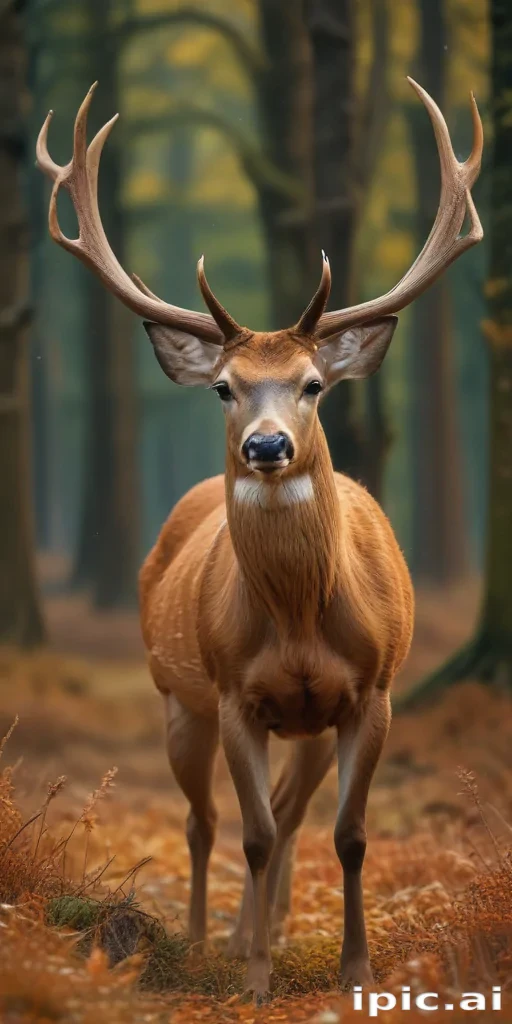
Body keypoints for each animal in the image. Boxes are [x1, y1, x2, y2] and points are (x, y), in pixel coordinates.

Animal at [37, 77, 483, 1003]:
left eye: (313, 384)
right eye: (223, 388)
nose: (268, 446)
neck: (302, 623)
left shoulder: (374, 689)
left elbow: (346, 834)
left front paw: (354, 969)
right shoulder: (235, 690)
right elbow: (250, 832)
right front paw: (253, 981)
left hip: (307, 722)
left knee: (289, 806)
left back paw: (266, 923)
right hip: (179, 696)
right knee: (207, 820)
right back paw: (212, 935)